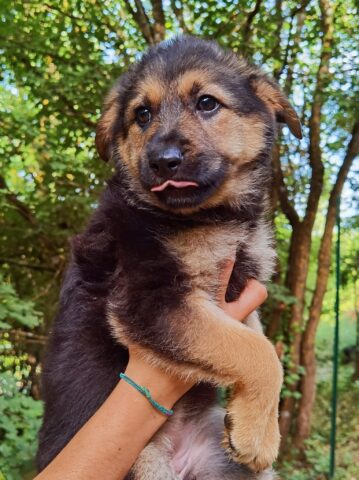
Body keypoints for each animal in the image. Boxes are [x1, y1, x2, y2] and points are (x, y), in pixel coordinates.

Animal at [36, 37, 302, 480]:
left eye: (207, 103)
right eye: (141, 114)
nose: (163, 160)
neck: (210, 217)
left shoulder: (240, 287)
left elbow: (255, 335)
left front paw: (257, 425)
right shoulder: (150, 299)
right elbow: (255, 351)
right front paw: (257, 434)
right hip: (141, 464)